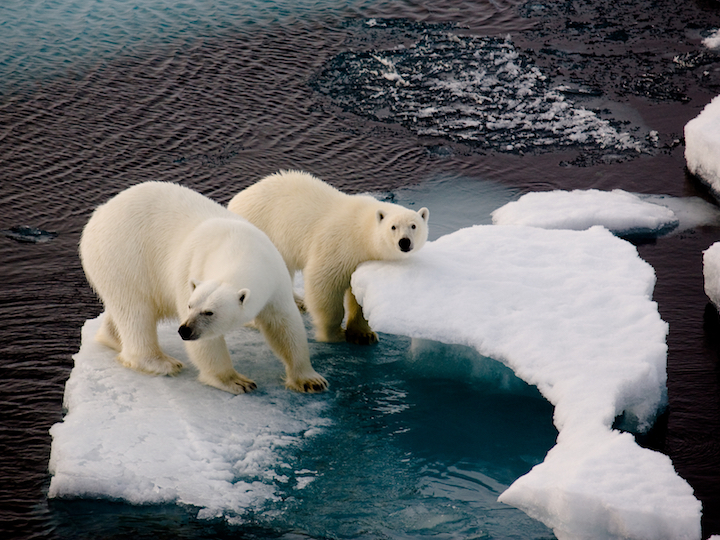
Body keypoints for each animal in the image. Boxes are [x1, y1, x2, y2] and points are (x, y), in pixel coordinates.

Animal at [78, 180, 326, 392]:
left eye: (209, 312)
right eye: (190, 306)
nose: (184, 330)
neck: (240, 248)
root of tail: (99, 213)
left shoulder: (274, 277)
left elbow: (284, 324)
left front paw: (310, 380)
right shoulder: (192, 268)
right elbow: (208, 345)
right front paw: (236, 381)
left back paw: (112, 337)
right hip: (123, 256)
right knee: (135, 311)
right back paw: (162, 362)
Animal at [228, 171, 428, 344]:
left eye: (414, 225)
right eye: (393, 227)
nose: (404, 242)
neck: (361, 231)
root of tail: (234, 201)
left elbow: (359, 295)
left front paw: (364, 335)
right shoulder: (338, 246)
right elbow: (324, 285)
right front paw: (333, 334)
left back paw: (298, 302)